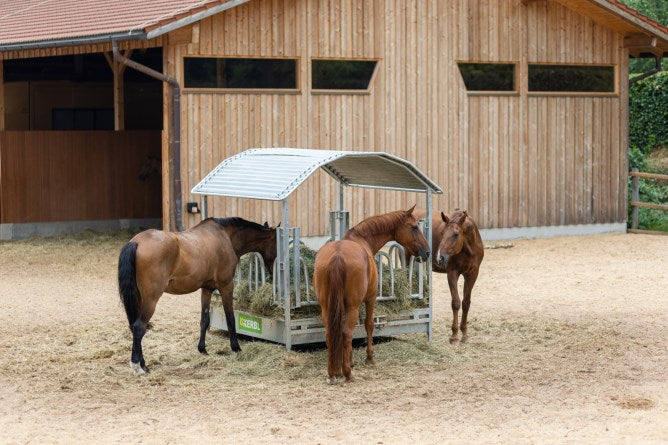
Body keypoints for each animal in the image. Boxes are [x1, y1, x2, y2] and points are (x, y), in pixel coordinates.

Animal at [117, 218, 276, 374]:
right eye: (276, 245)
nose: (273, 274)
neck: (225, 236)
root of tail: (136, 242)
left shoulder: (207, 289)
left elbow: (204, 320)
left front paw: (202, 349)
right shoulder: (226, 286)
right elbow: (230, 318)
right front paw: (236, 347)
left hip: (139, 298)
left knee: (135, 327)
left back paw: (142, 364)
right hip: (151, 300)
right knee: (139, 327)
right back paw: (138, 366)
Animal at [312, 205, 428, 382]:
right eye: (414, 227)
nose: (427, 252)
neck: (362, 240)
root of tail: (337, 256)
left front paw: (350, 360)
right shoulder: (370, 299)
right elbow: (368, 325)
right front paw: (369, 358)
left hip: (327, 307)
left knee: (331, 333)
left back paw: (333, 373)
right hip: (353, 306)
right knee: (346, 333)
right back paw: (347, 374)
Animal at [422, 209, 486, 344]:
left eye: (456, 234)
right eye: (442, 233)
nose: (439, 258)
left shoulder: (472, 274)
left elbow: (466, 303)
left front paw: (464, 333)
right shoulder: (452, 273)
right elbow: (456, 303)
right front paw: (454, 335)